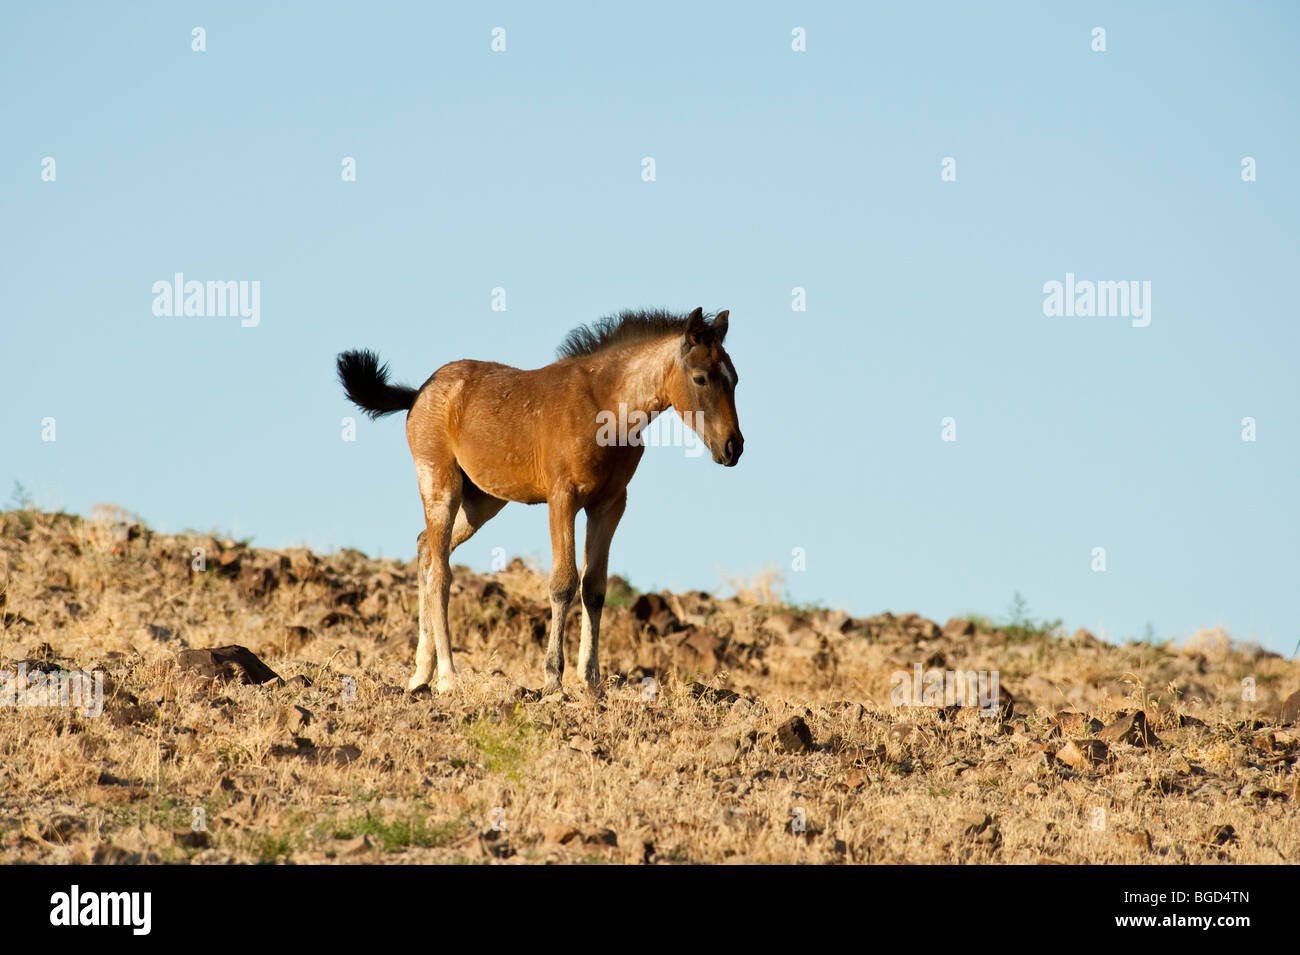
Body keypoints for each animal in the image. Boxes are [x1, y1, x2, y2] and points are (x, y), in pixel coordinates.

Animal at [338, 306, 743, 696]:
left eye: (735, 379)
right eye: (701, 378)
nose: (733, 447)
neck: (607, 406)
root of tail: (419, 392)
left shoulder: (610, 504)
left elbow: (594, 588)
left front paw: (591, 681)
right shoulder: (563, 498)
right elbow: (563, 583)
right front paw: (553, 679)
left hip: (482, 501)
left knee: (426, 548)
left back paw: (421, 674)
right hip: (441, 483)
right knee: (440, 570)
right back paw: (449, 677)